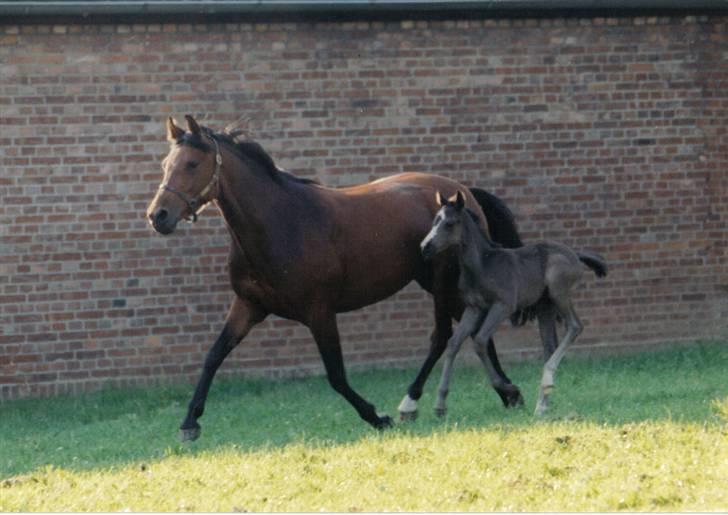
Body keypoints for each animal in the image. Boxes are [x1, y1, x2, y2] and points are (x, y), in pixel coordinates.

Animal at [146, 115, 526, 441]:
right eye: (165, 165)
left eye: (192, 164)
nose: (157, 216)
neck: (282, 222)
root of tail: (462, 194)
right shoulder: (249, 306)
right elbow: (213, 355)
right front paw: (189, 423)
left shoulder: (319, 312)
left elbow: (336, 376)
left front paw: (377, 417)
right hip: (434, 283)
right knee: (469, 330)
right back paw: (506, 393)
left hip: (443, 283)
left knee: (444, 335)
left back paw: (415, 403)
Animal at [420, 191, 607, 416]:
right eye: (434, 220)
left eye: (449, 223)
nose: (425, 247)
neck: (483, 264)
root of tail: (575, 255)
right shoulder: (474, 308)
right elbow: (454, 342)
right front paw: (440, 404)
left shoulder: (503, 306)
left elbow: (480, 340)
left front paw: (508, 388)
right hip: (545, 306)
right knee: (549, 345)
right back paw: (542, 405)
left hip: (558, 292)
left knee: (575, 326)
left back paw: (546, 381)